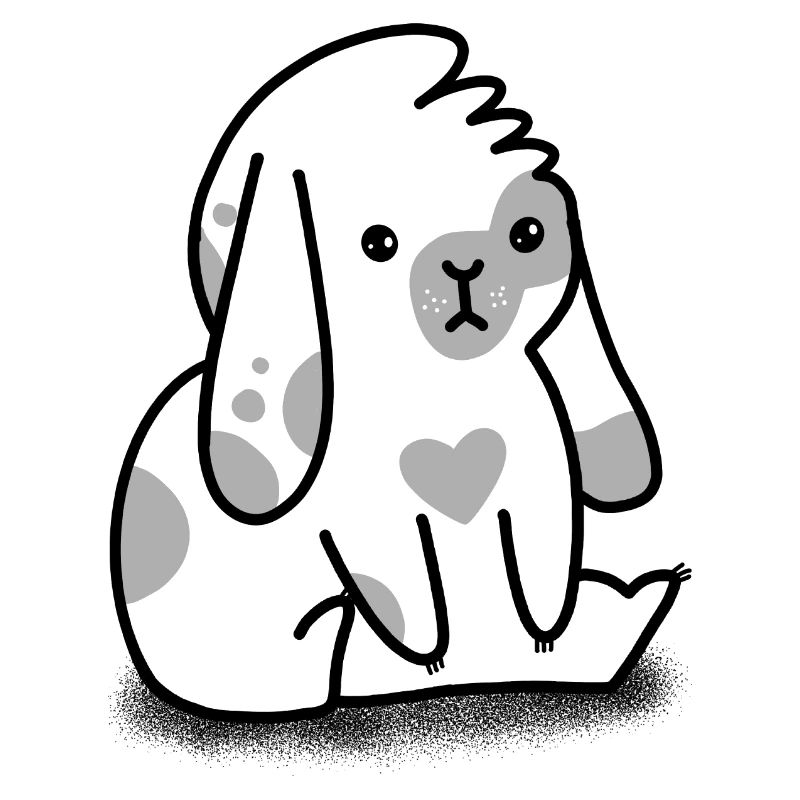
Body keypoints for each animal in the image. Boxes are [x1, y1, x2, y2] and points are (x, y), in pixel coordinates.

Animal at [111, 24, 690, 721]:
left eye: (528, 233)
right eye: (377, 243)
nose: (464, 262)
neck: (447, 388)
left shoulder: (540, 489)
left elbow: (538, 570)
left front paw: (543, 634)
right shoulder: (371, 526)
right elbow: (404, 586)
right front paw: (438, 654)